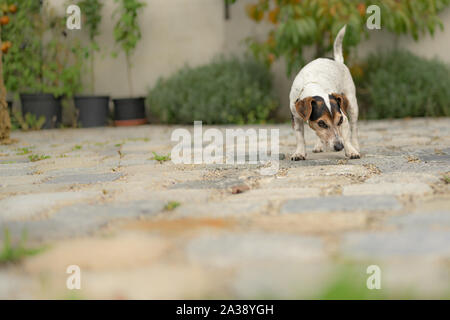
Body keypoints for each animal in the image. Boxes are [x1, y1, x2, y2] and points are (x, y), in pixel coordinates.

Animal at [290, 24, 360, 160]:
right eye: (321, 123)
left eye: (340, 121)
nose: (339, 147)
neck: (313, 84)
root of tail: (337, 60)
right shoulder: (296, 118)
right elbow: (300, 137)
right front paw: (299, 153)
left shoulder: (344, 117)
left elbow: (346, 137)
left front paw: (351, 150)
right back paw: (318, 145)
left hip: (352, 105)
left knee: (354, 129)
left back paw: (355, 146)